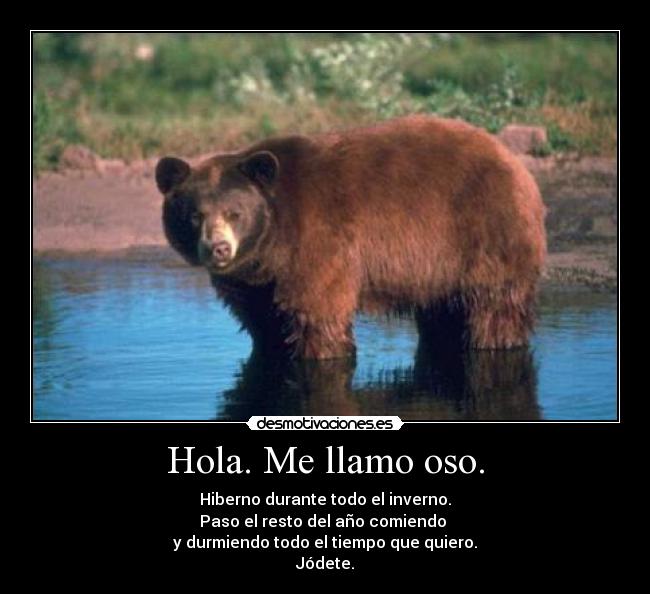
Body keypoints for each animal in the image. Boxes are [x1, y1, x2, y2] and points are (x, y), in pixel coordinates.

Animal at [156, 115, 546, 360]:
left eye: (234, 213)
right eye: (194, 215)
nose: (218, 249)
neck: (272, 242)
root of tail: (511, 159)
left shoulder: (316, 242)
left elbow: (317, 311)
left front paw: (320, 350)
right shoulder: (254, 280)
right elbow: (263, 320)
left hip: (484, 232)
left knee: (493, 305)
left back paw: (494, 341)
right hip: (439, 266)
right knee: (443, 311)